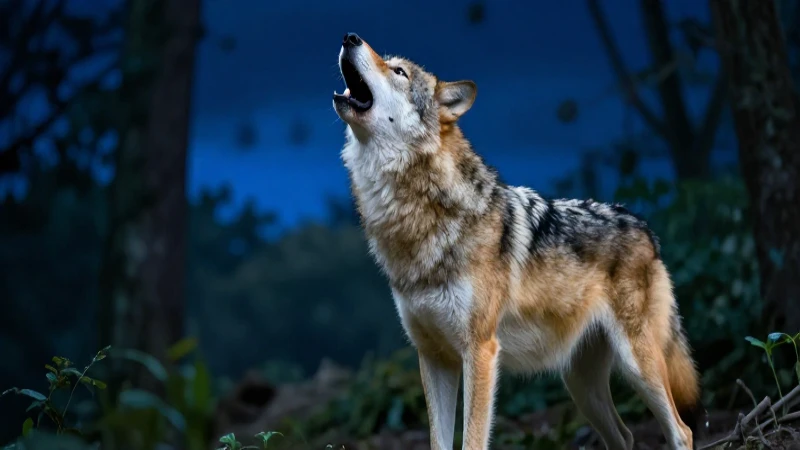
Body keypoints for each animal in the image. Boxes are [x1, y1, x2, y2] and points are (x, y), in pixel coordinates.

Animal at [332, 32, 700, 450]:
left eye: (398, 71)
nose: (350, 37)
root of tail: (643, 225)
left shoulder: (480, 351)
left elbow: (472, 440)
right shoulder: (434, 357)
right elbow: (439, 442)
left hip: (638, 365)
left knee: (682, 431)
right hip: (581, 386)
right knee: (624, 436)